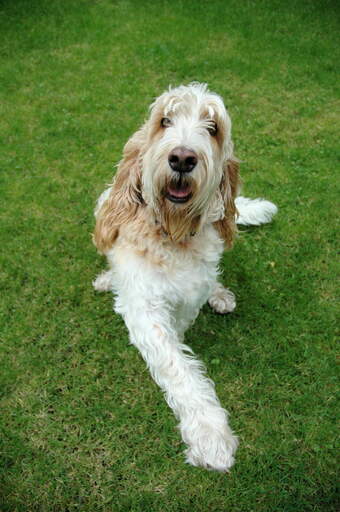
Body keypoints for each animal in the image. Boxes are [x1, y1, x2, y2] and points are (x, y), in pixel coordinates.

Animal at [92, 83, 276, 472]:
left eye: (213, 128)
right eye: (165, 120)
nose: (182, 158)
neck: (173, 236)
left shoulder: (192, 290)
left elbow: (182, 329)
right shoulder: (144, 309)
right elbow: (176, 363)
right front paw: (210, 435)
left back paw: (220, 294)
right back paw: (107, 279)